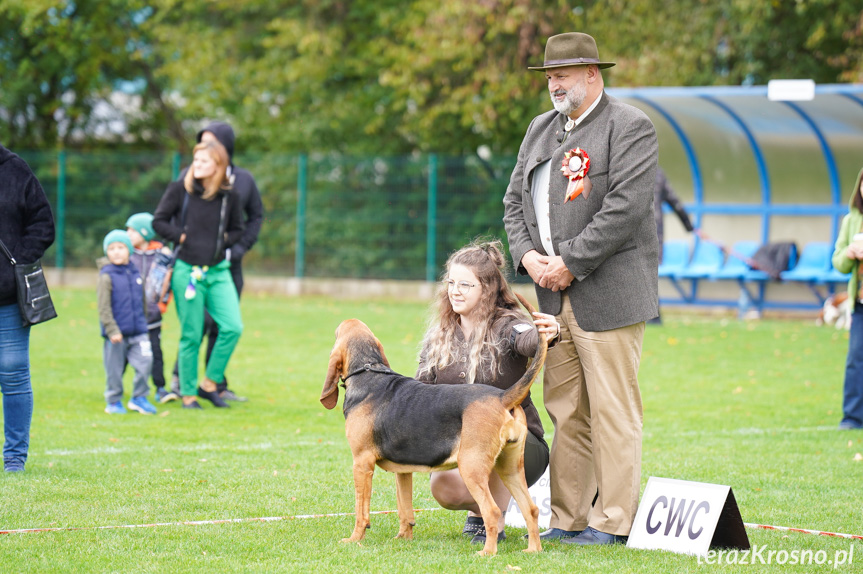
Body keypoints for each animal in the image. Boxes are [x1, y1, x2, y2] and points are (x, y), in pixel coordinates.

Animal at [324, 312, 548, 556]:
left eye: (336, 332)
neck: (368, 371)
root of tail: (502, 397)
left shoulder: (362, 464)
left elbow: (361, 511)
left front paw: (354, 539)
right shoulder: (403, 472)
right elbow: (405, 509)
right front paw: (403, 538)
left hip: (471, 467)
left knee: (493, 511)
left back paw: (487, 552)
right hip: (511, 469)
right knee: (531, 509)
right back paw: (533, 550)